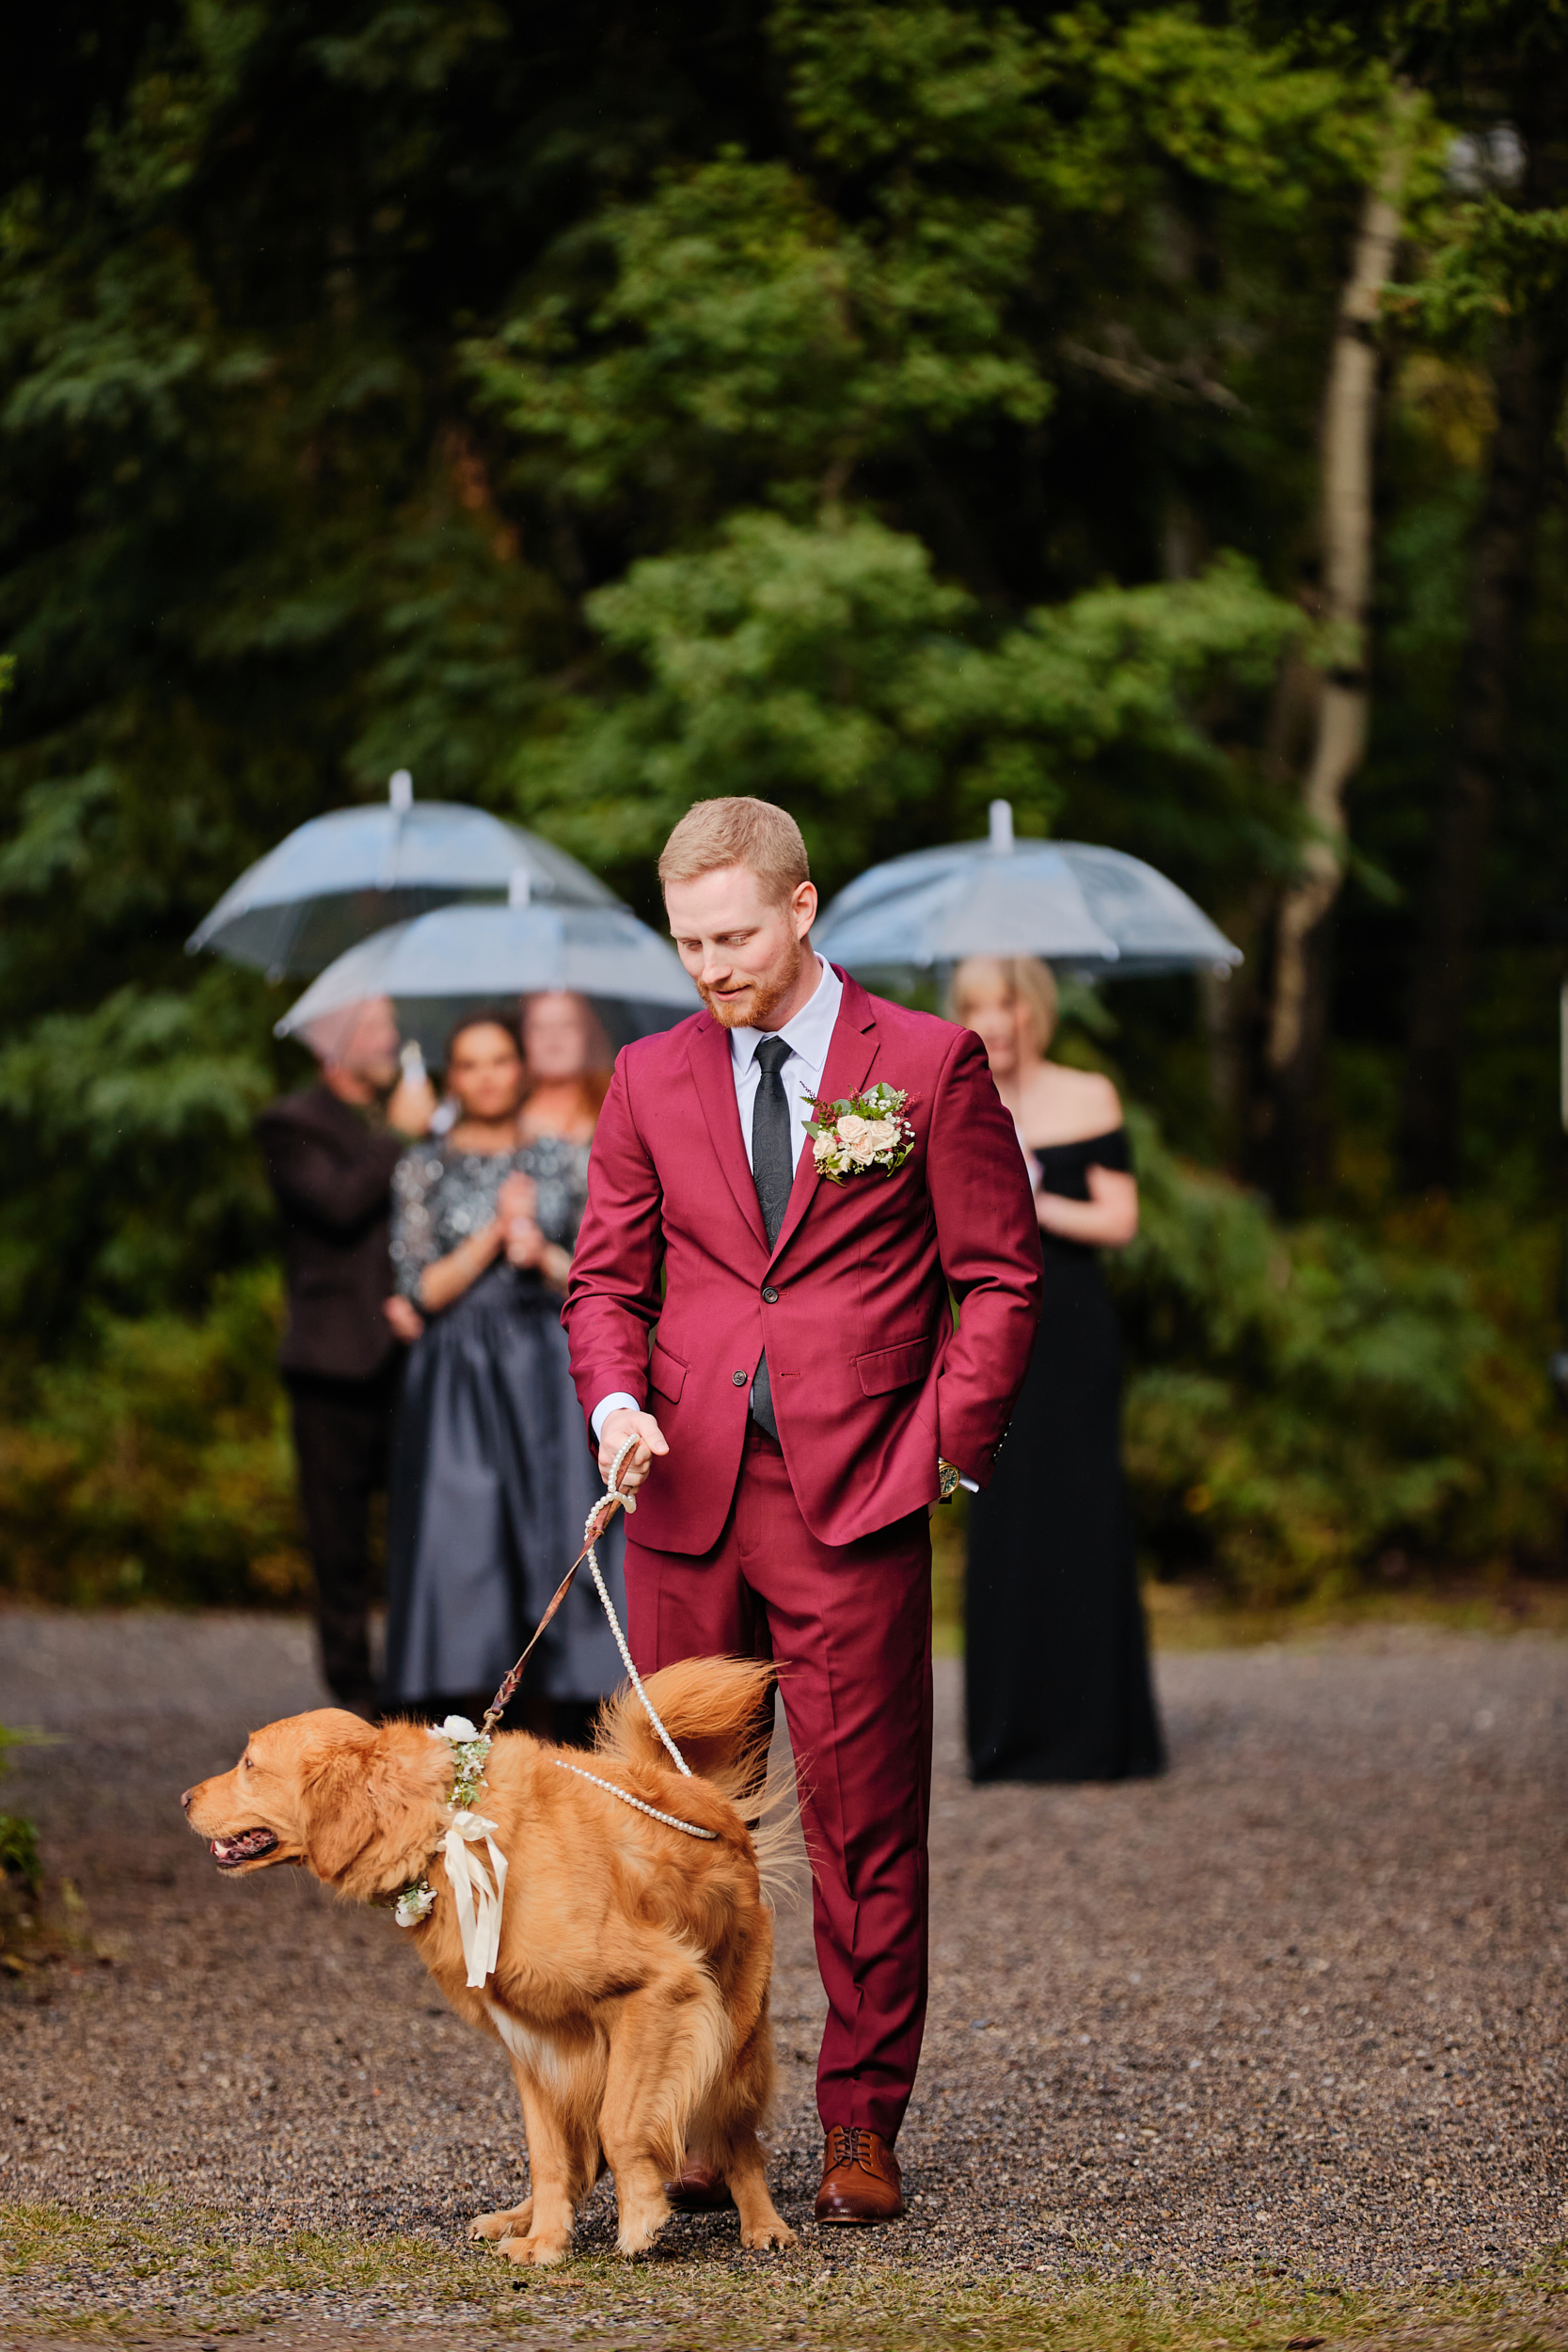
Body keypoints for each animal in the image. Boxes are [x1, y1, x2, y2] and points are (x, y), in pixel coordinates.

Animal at [184, 1656, 799, 2258]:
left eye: (249, 1764)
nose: (184, 1800)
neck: (448, 1823)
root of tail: (702, 1796)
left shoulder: (660, 1989)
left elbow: (620, 2125)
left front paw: (640, 2217)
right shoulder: (535, 2042)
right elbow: (551, 2156)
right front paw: (546, 2241)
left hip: (731, 2045)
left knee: (737, 2139)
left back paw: (763, 2225)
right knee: (583, 2162)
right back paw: (520, 2220)